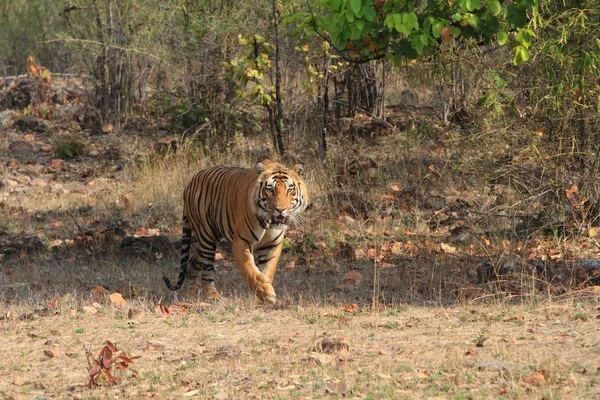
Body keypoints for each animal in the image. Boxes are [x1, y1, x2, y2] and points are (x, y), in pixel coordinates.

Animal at [162, 159, 308, 304]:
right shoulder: (241, 243)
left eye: (290, 190)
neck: (269, 222)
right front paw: (265, 292)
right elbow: (249, 270)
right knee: (206, 270)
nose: (280, 209)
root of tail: (190, 183)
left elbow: (267, 270)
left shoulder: (272, 245)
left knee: (193, 263)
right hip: (206, 236)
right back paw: (212, 296)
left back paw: (189, 296)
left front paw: (264, 294)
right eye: (270, 190)